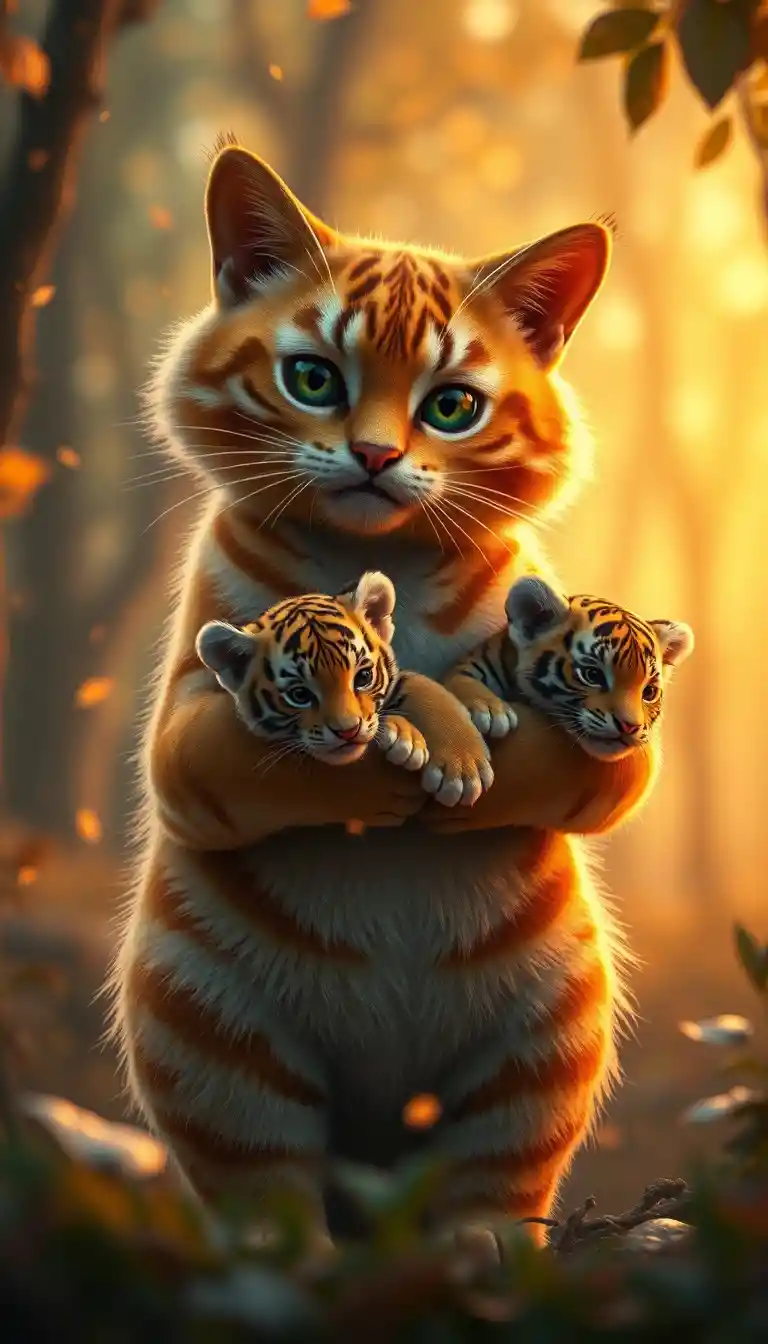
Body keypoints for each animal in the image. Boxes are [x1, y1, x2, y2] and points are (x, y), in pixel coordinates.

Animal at [195, 569, 494, 806]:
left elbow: (425, 688)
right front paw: (405, 738)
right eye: (299, 695)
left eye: (363, 677)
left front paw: (462, 768)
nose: (348, 731)